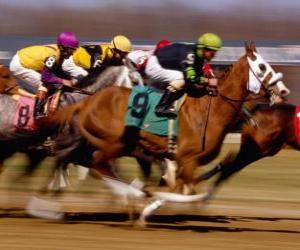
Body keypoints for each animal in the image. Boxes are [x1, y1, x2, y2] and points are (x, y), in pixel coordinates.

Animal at [33, 41, 288, 225]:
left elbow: (176, 186)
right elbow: (182, 189)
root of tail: (86, 101)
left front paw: (147, 210)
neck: (210, 109)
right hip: (112, 143)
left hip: (114, 145)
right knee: (97, 165)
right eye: (262, 67)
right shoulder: (186, 159)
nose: (284, 91)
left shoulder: (177, 160)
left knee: (95, 166)